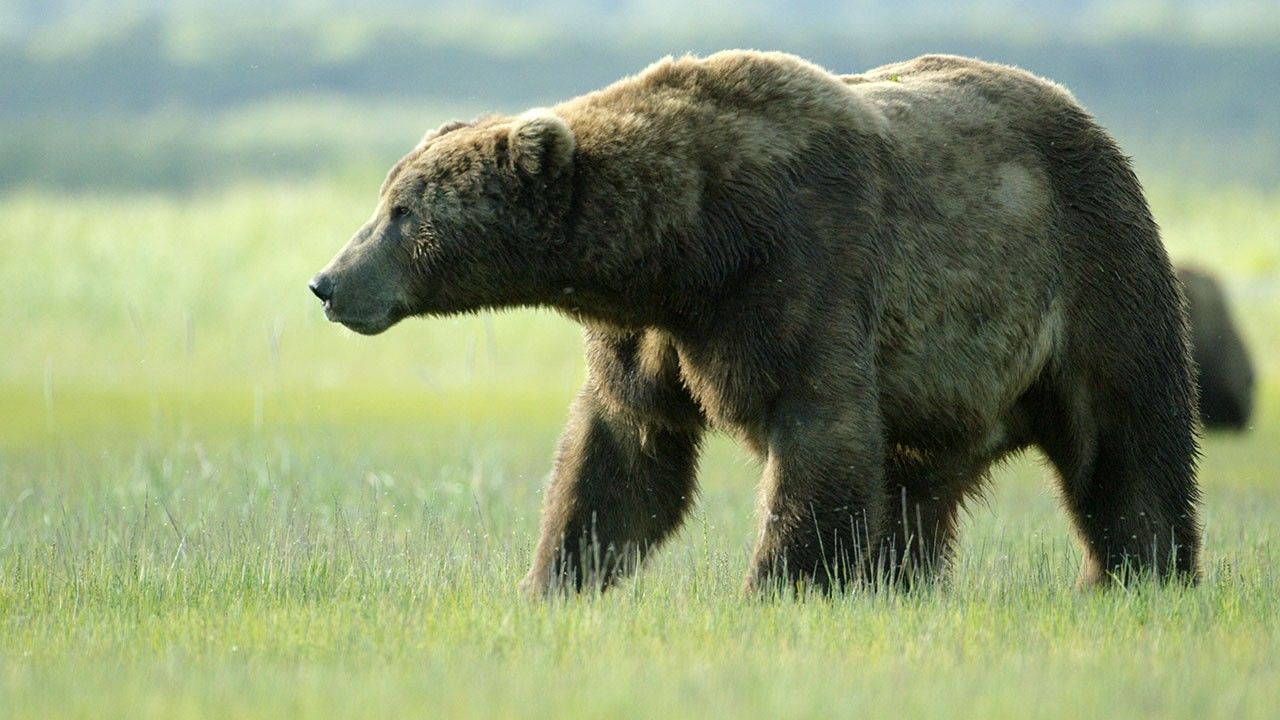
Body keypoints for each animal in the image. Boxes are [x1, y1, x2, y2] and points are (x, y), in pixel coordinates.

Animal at [309, 49, 1198, 589]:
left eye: (402, 211)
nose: (326, 281)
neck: (686, 250)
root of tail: (1084, 114)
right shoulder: (651, 336)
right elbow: (620, 454)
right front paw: (555, 577)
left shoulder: (800, 270)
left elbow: (816, 437)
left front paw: (776, 584)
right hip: (946, 381)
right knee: (918, 482)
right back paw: (900, 581)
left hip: (1088, 271)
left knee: (1129, 440)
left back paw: (1140, 572)